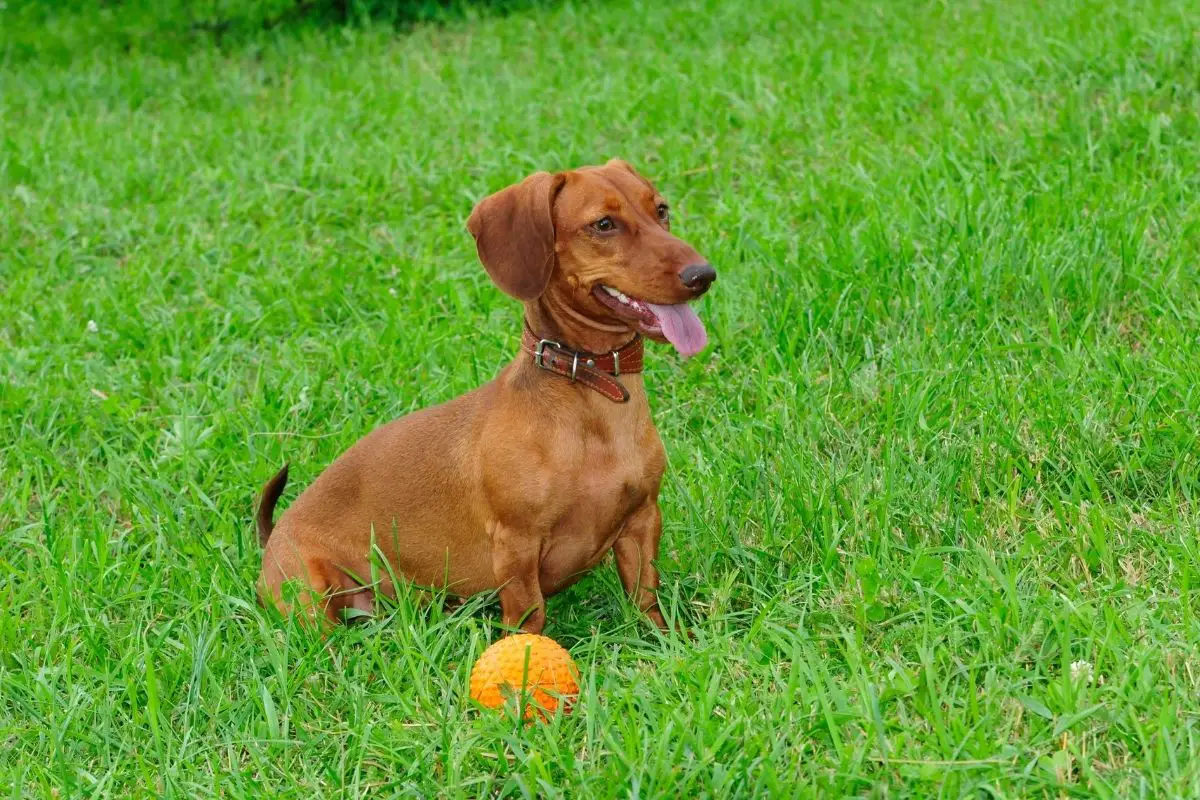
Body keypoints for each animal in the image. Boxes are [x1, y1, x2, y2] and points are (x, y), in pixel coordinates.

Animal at [255, 160, 710, 633]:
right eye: (604, 224)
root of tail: (272, 539)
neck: (592, 394)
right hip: (313, 601)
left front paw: (663, 639)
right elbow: (528, 613)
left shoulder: (643, 520)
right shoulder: (515, 544)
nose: (703, 275)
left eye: (661, 210)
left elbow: (645, 596)